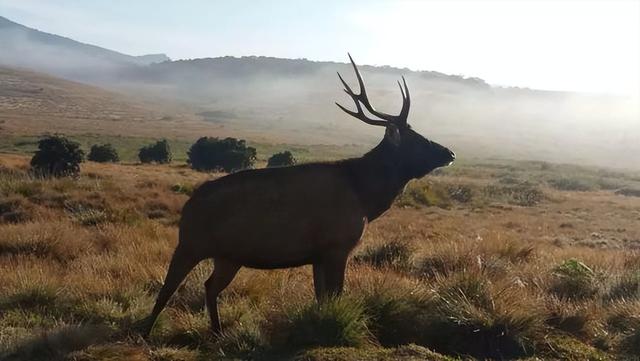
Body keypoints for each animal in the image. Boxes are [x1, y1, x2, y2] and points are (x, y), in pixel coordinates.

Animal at [143, 53, 458, 334]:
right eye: (416, 139)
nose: (450, 153)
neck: (365, 198)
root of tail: (188, 204)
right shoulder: (337, 245)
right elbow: (335, 294)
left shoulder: (317, 254)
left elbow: (321, 298)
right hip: (190, 243)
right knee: (168, 287)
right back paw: (146, 331)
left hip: (228, 256)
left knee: (209, 286)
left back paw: (217, 332)